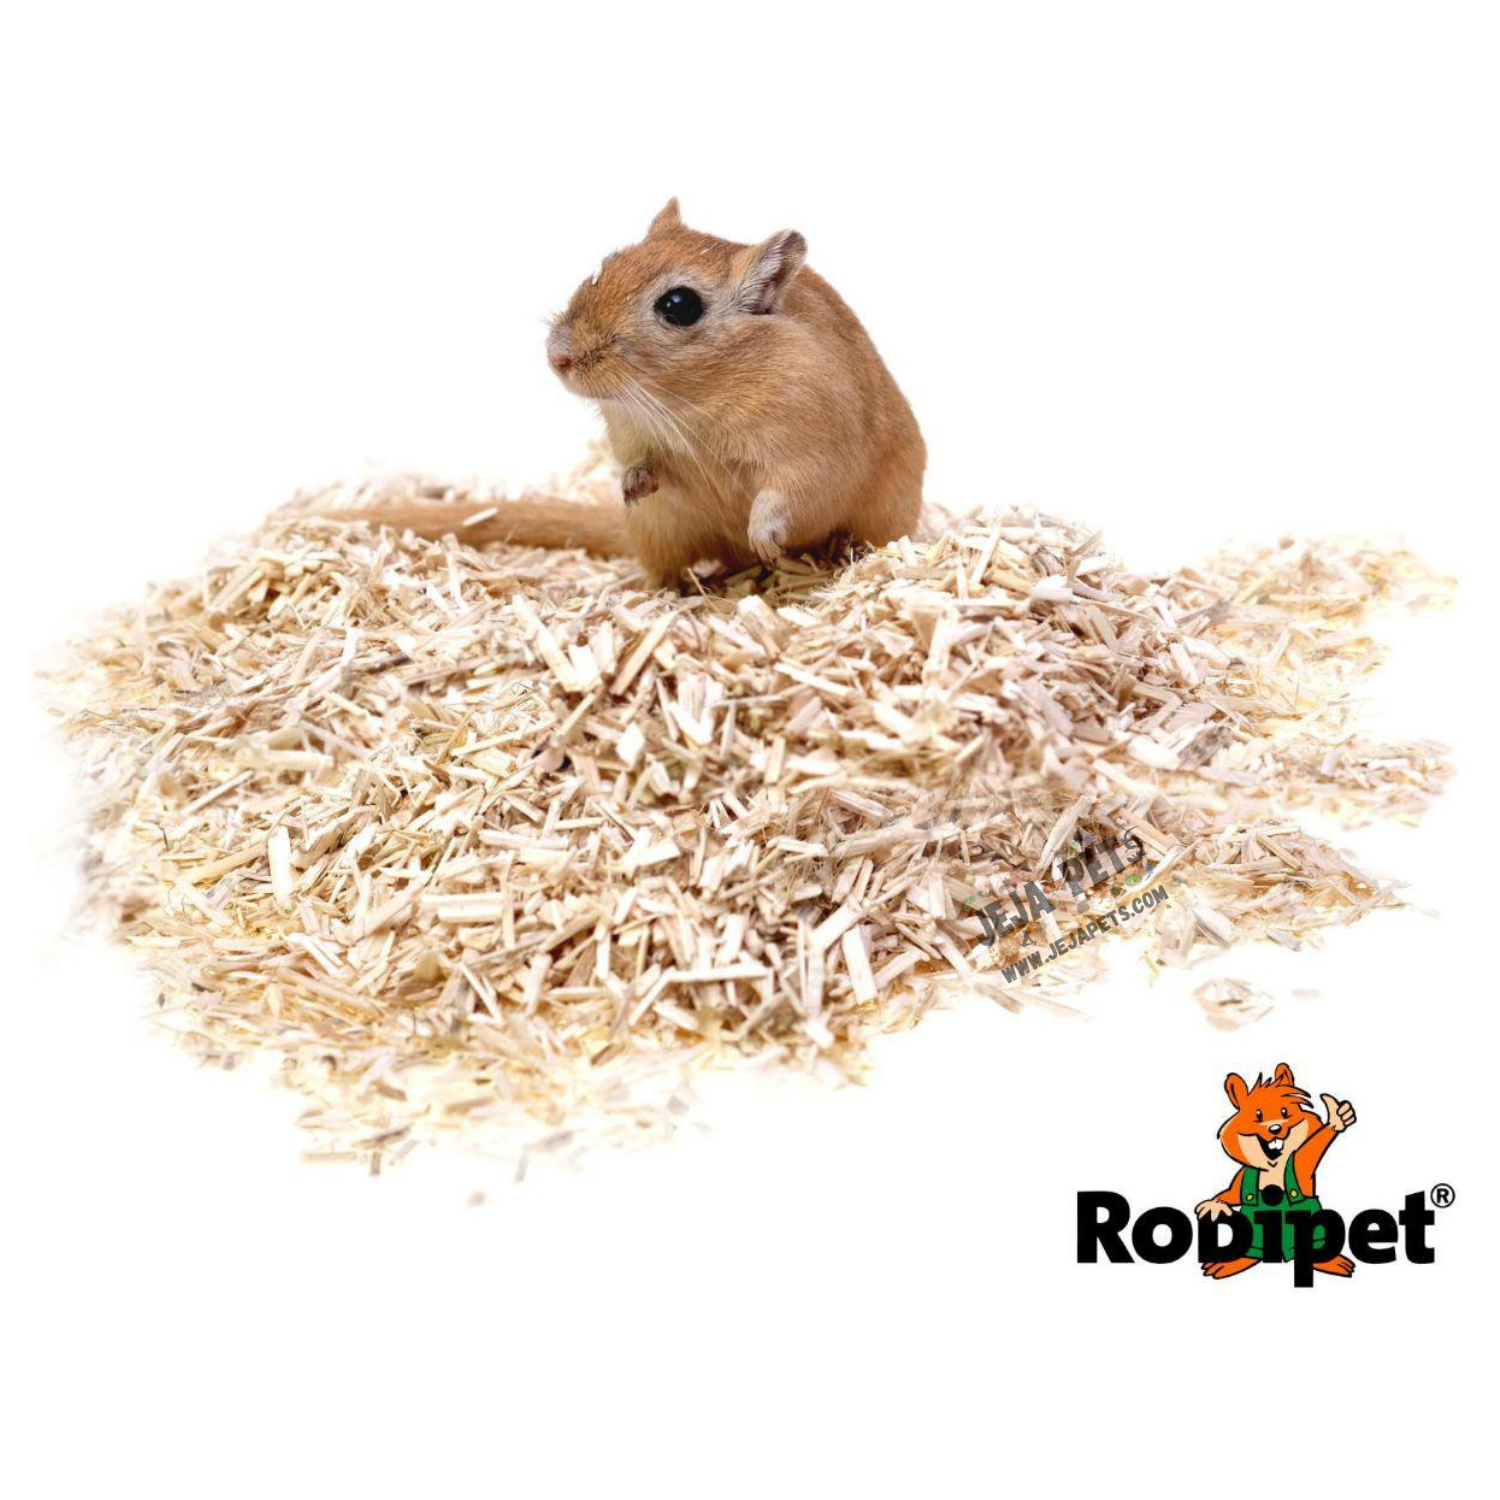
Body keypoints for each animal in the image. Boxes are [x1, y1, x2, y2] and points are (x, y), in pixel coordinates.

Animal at [343, 201, 925, 584]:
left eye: (679, 306)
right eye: (605, 265)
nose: (557, 357)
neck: (699, 396)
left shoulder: (808, 455)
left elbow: (782, 497)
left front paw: (765, 541)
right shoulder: (637, 439)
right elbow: (646, 465)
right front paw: (631, 485)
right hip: (660, 532)